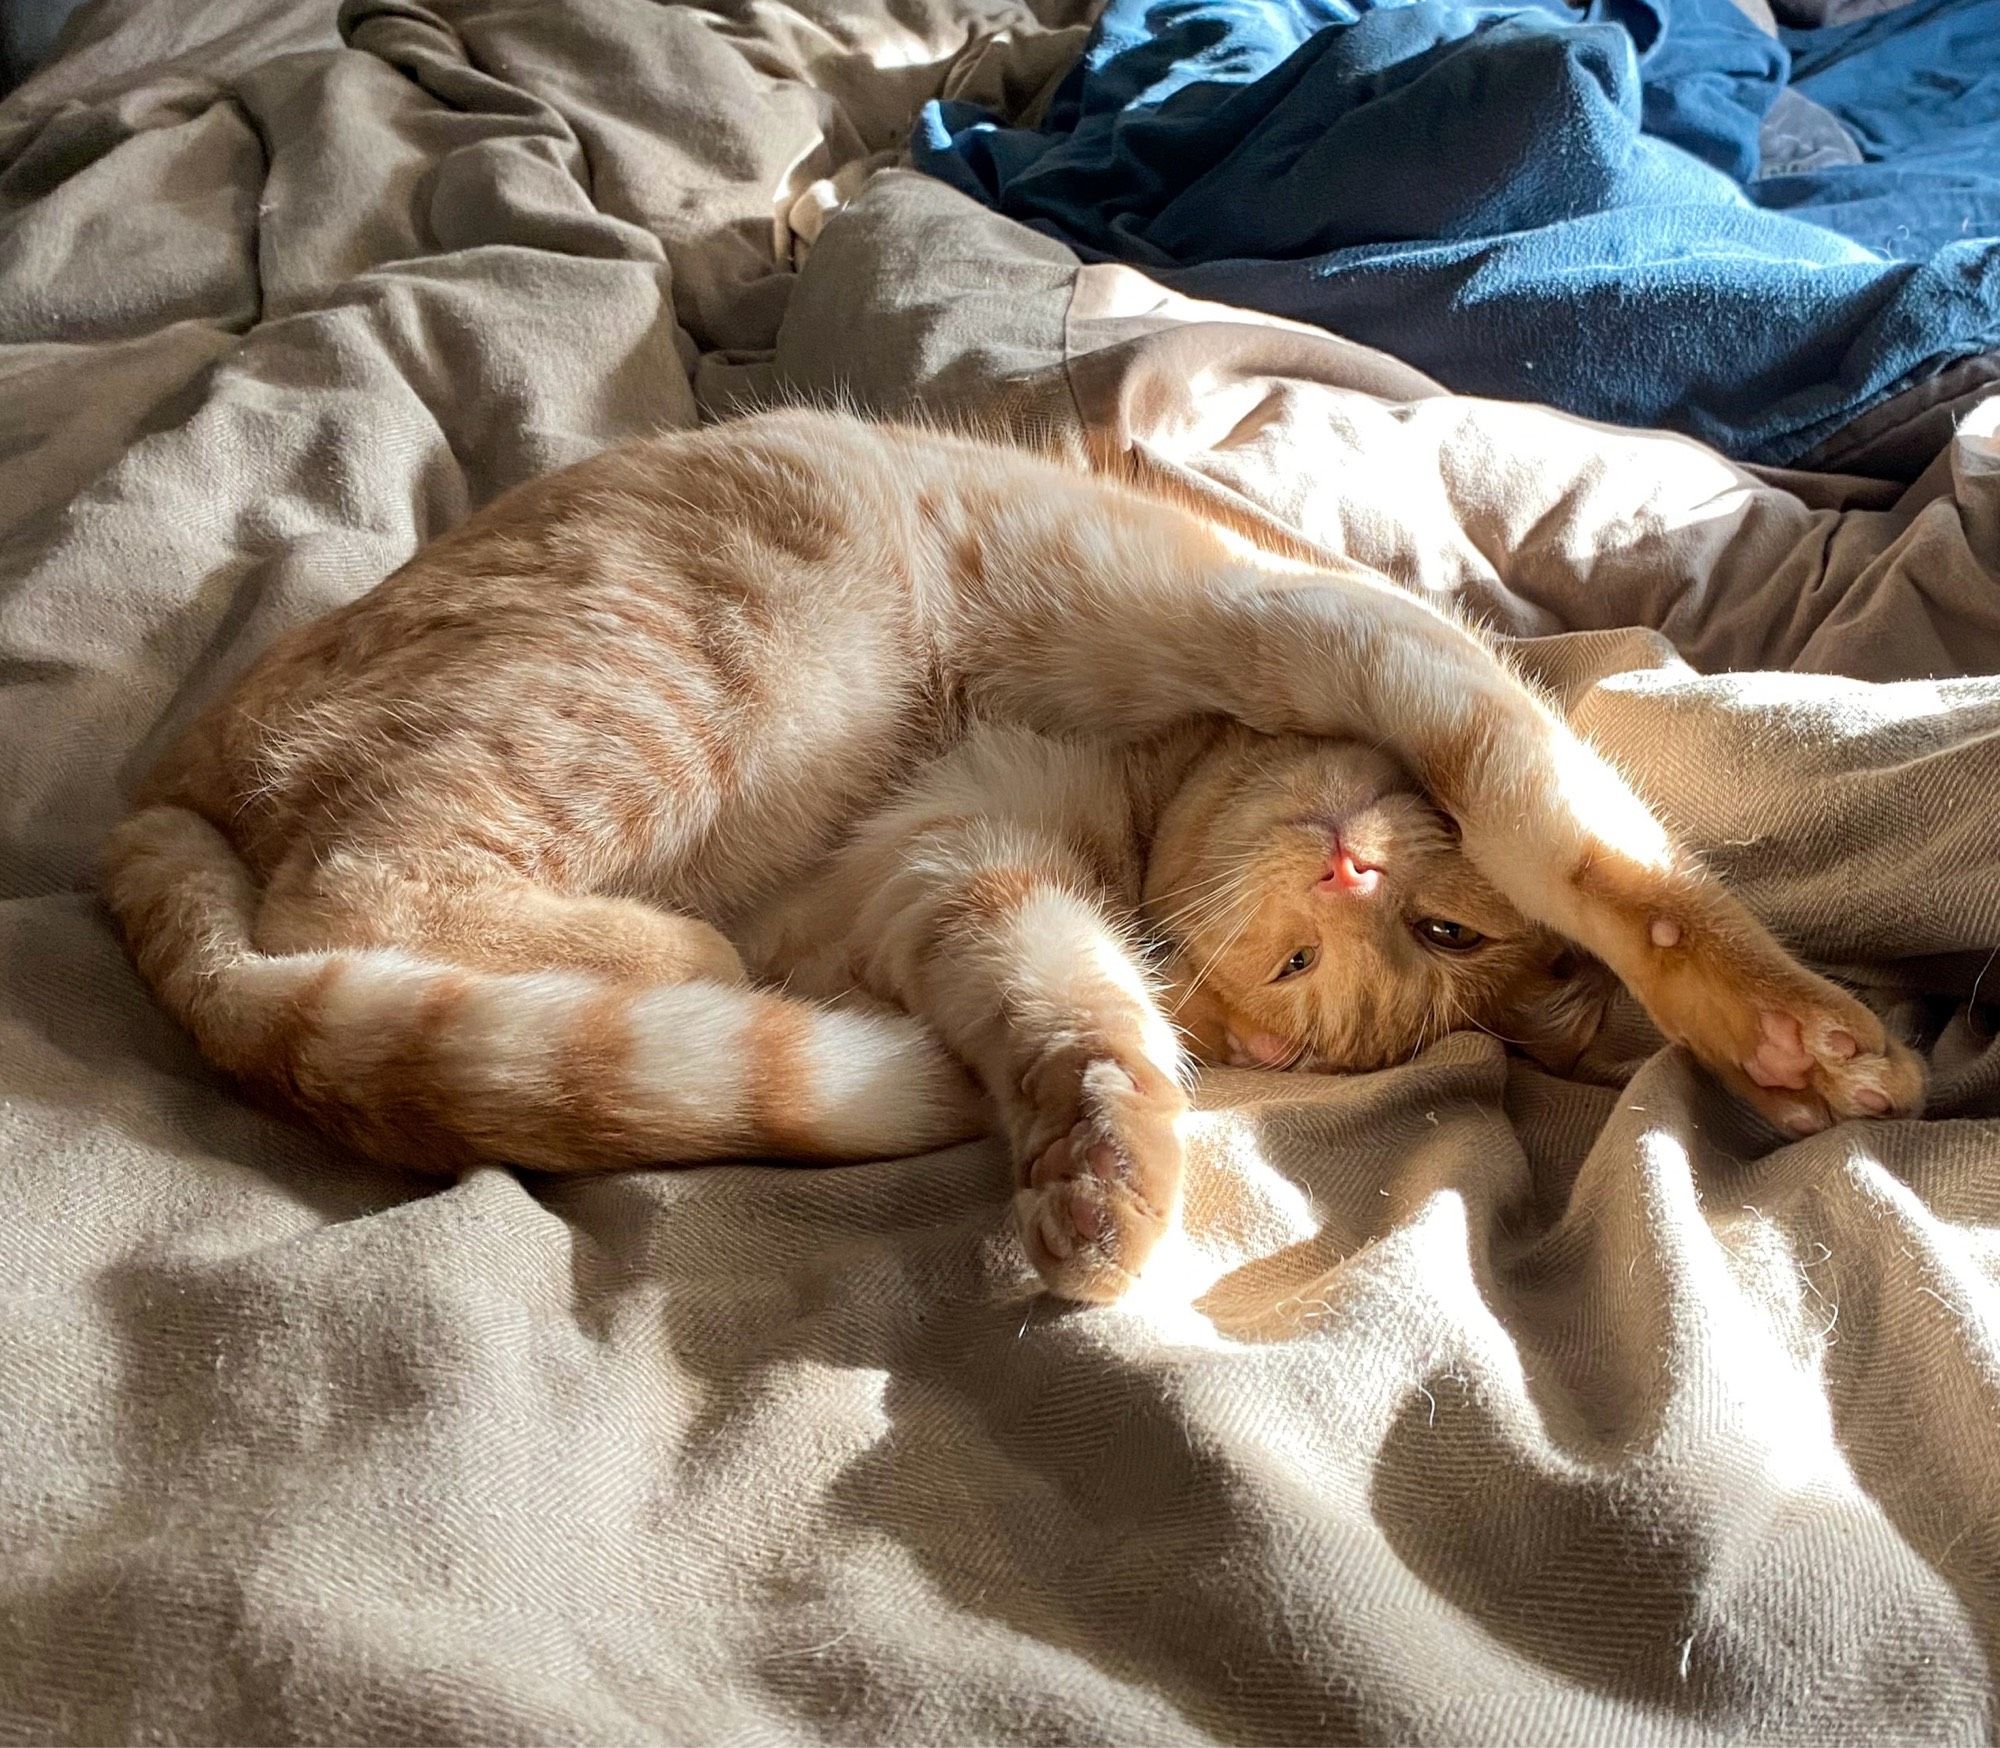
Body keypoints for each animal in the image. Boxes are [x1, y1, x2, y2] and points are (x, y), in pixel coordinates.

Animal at [105, 412, 1920, 1296]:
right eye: (1435, 935)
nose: (1352, 869)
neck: (1134, 779)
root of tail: (161, 777)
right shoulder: (1348, 637)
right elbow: (1604, 856)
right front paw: (1797, 1032)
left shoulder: (960, 873)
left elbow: (1079, 1013)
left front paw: (1101, 1174)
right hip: (706, 670)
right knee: (350, 895)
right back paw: (689, 950)